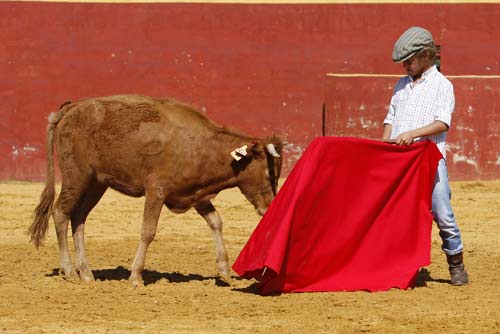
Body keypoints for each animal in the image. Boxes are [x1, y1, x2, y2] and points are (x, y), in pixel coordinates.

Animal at [30, 94, 282, 288]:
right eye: (269, 173)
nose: (269, 207)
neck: (202, 148)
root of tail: (72, 108)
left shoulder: (196, 195)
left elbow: (216, 222)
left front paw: (224, 270)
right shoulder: (156, 191)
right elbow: (148, 231)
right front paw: (135, 276)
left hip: (96, 184)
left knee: (78, 217)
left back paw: (86, 272)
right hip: (76, 177)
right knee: (60, 213)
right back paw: (69, 271)